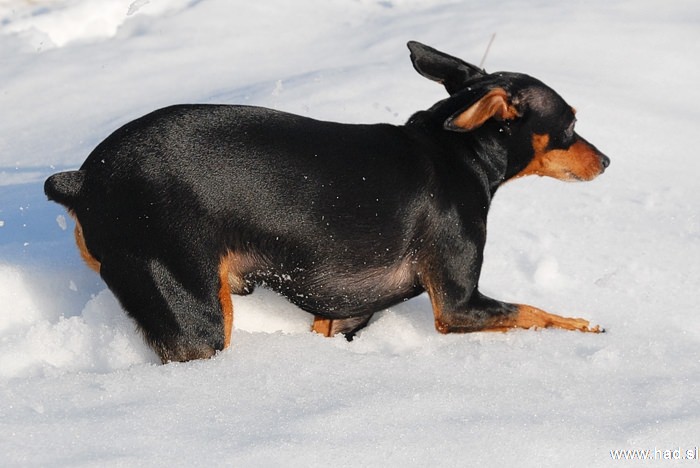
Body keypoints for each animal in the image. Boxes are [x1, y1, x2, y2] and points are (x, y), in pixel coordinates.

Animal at [45, 41, 609, 363]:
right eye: (571, 125)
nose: (605, 160)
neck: (457, 150)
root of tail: (83, 180)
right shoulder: (457, 305)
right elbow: (534, 312)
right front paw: (587, 326)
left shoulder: (339, 316)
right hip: (195, 317)